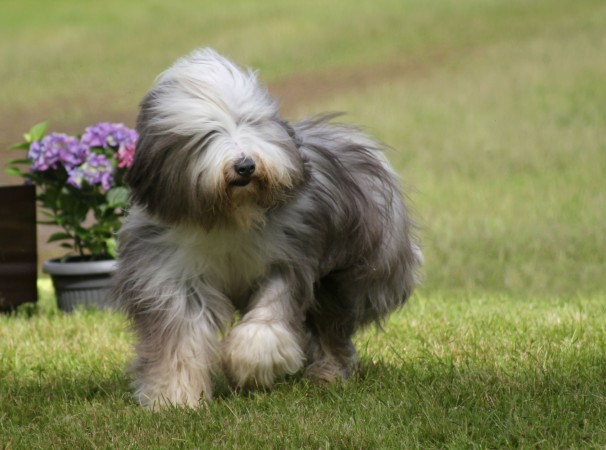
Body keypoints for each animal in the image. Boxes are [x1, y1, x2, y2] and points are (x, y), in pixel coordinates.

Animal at [115, 48, 428, 408]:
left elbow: (267, 319)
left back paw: (328, 374)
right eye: (206, 136)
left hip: (344, 274)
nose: (245, 166)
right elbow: (180, 340)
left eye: (250, 122)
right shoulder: (173, 276)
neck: (229, 218)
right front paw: (174, 398)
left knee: (332, 327)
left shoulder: (288, 258)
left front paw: (249, 365)